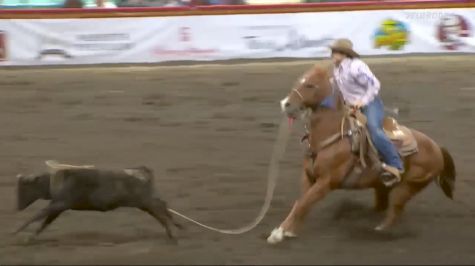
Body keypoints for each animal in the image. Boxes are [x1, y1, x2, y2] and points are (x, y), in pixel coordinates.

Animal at [268, 62, 458, 245]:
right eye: (299, 81)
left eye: (310, 85)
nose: (285, 104)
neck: (330, 135)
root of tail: (437, 148)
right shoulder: (308, 177)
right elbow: (301, 203)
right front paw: (290, 230)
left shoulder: (326, 182)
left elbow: (303, 203)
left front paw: (278, 233)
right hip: (383, 186)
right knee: (385, 206)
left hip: (408, 186)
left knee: (396, 209)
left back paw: (380, 230)